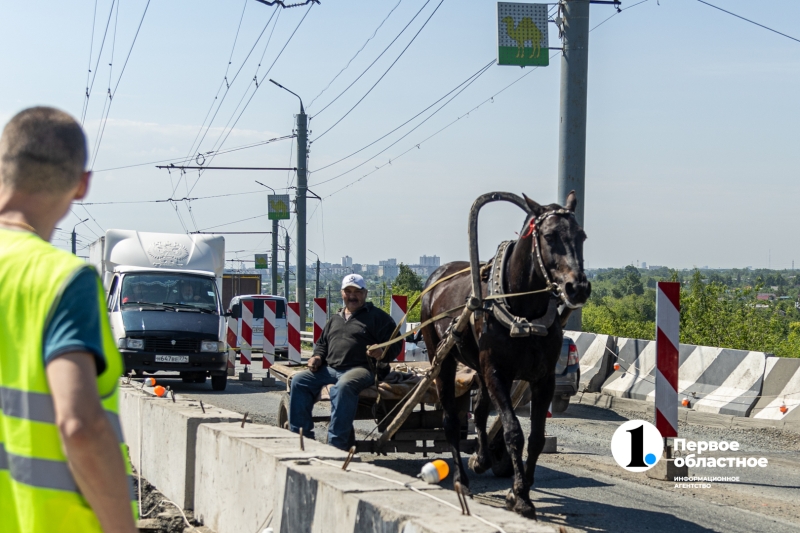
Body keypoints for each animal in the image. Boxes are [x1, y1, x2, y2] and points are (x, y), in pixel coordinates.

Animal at [422, 192, 592, 520]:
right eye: (549, 236)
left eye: (582, 236)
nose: (577, 287)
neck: (523, 310)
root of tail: (437, 276)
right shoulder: (497, 372)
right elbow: (514, 431)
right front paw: (520, 496)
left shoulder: (544, 379)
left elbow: (536, 437)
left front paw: (521, 486)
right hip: (443, 358)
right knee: (451, 419)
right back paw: (461, 478)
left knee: (480, 410)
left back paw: (481, 458)